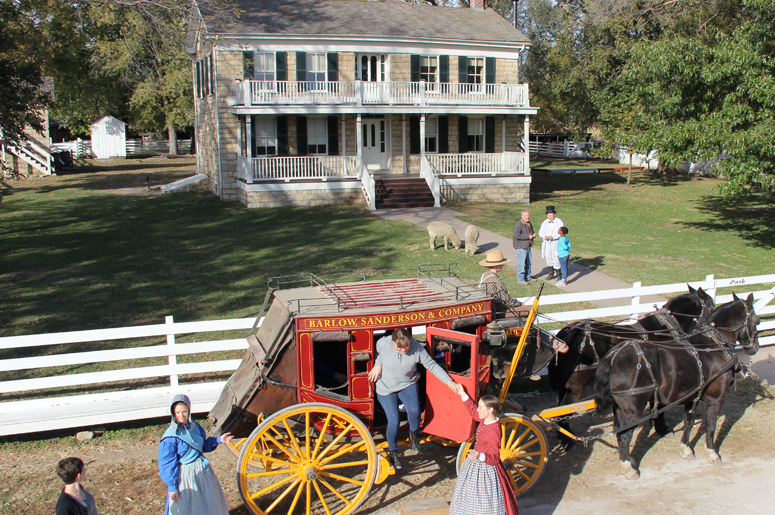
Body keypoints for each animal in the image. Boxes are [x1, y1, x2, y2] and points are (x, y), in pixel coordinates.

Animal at [544, 284, 716, 446]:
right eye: (711, 307)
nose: (713, 331)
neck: (663, 330)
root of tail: (568, 332)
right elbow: (660, 406)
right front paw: (662, 428)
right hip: (576, 386)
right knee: (563, 410)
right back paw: (566, 439)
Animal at [596, 294, 756, 480]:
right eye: (757, 320)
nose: (755, 347)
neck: (712, 345)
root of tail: (614, 355)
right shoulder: (716, 397)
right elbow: (710, 425)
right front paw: (712, 453)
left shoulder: (692, 396)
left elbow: (689, 422)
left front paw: (686, 448)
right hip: (633, 410)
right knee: (625, 436)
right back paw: (629, 468)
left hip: (620, 407)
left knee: (618, 431)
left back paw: (628, 460)